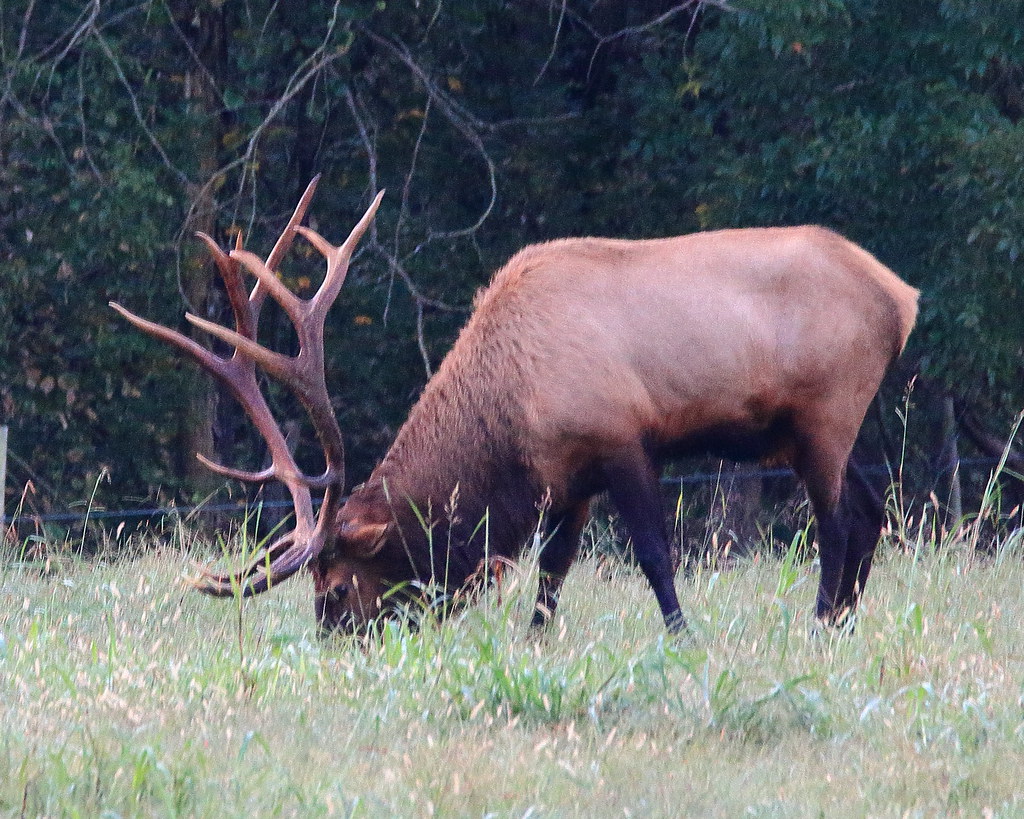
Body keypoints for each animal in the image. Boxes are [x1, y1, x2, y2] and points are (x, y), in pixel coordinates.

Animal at [112, 177, 919, 637]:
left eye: (336, 588)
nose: (337, 644)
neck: (510, 420)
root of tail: (902, 297)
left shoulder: (620, 438)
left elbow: (655, 555)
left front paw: (683, 639)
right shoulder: (570, 477)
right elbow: (551, 574)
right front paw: (535, 642)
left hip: (826, 412)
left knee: (836, 523)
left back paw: (817, 625)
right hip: (830, 427)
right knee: (871, 507)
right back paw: (845, 626)